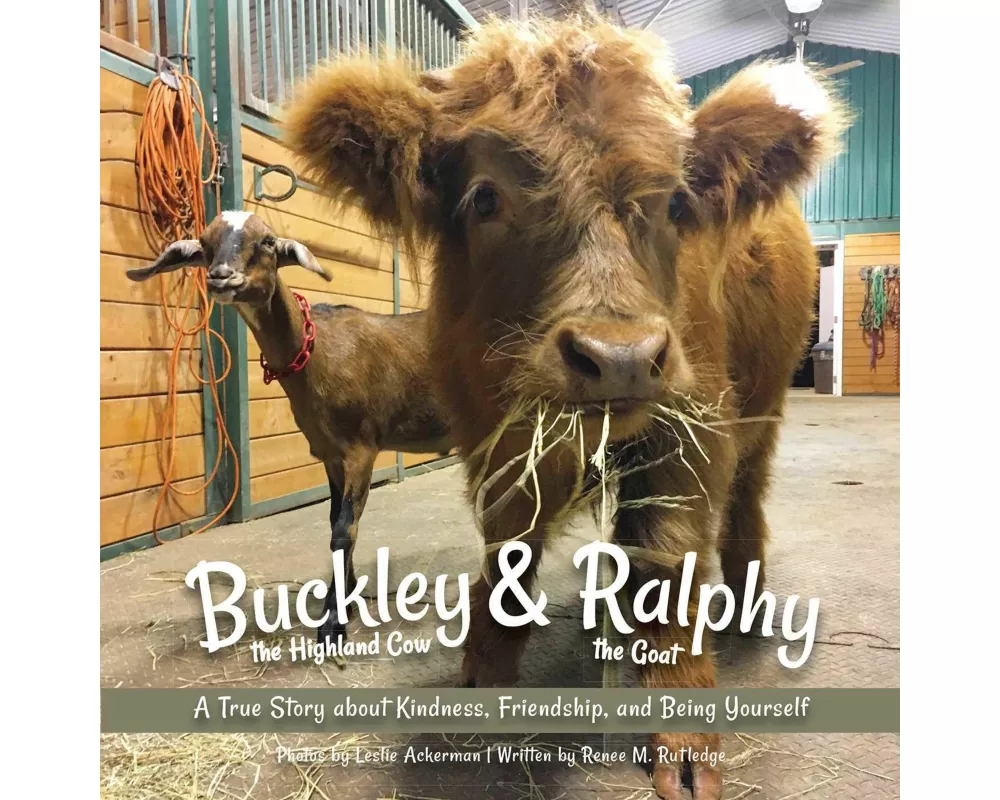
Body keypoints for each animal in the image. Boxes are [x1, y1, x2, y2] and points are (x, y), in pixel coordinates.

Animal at [126, 211, 453, 646]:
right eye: (205, 242)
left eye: (267, 241)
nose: (222, 277)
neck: (317, 352)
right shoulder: (330, 454)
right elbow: (334, 521)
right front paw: (345, 598)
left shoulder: (361, 448)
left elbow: (344, 530)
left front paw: (333, 623)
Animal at [283, 13, 848, 800]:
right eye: (485, 198)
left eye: (677, 203)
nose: (620, 357)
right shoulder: (495, 436)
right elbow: (508, 549)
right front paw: (485, 670)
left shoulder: (686, 435)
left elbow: (668, 562)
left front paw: (684, 737)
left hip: (759, 411)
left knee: (745, 503)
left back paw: (745, 599)